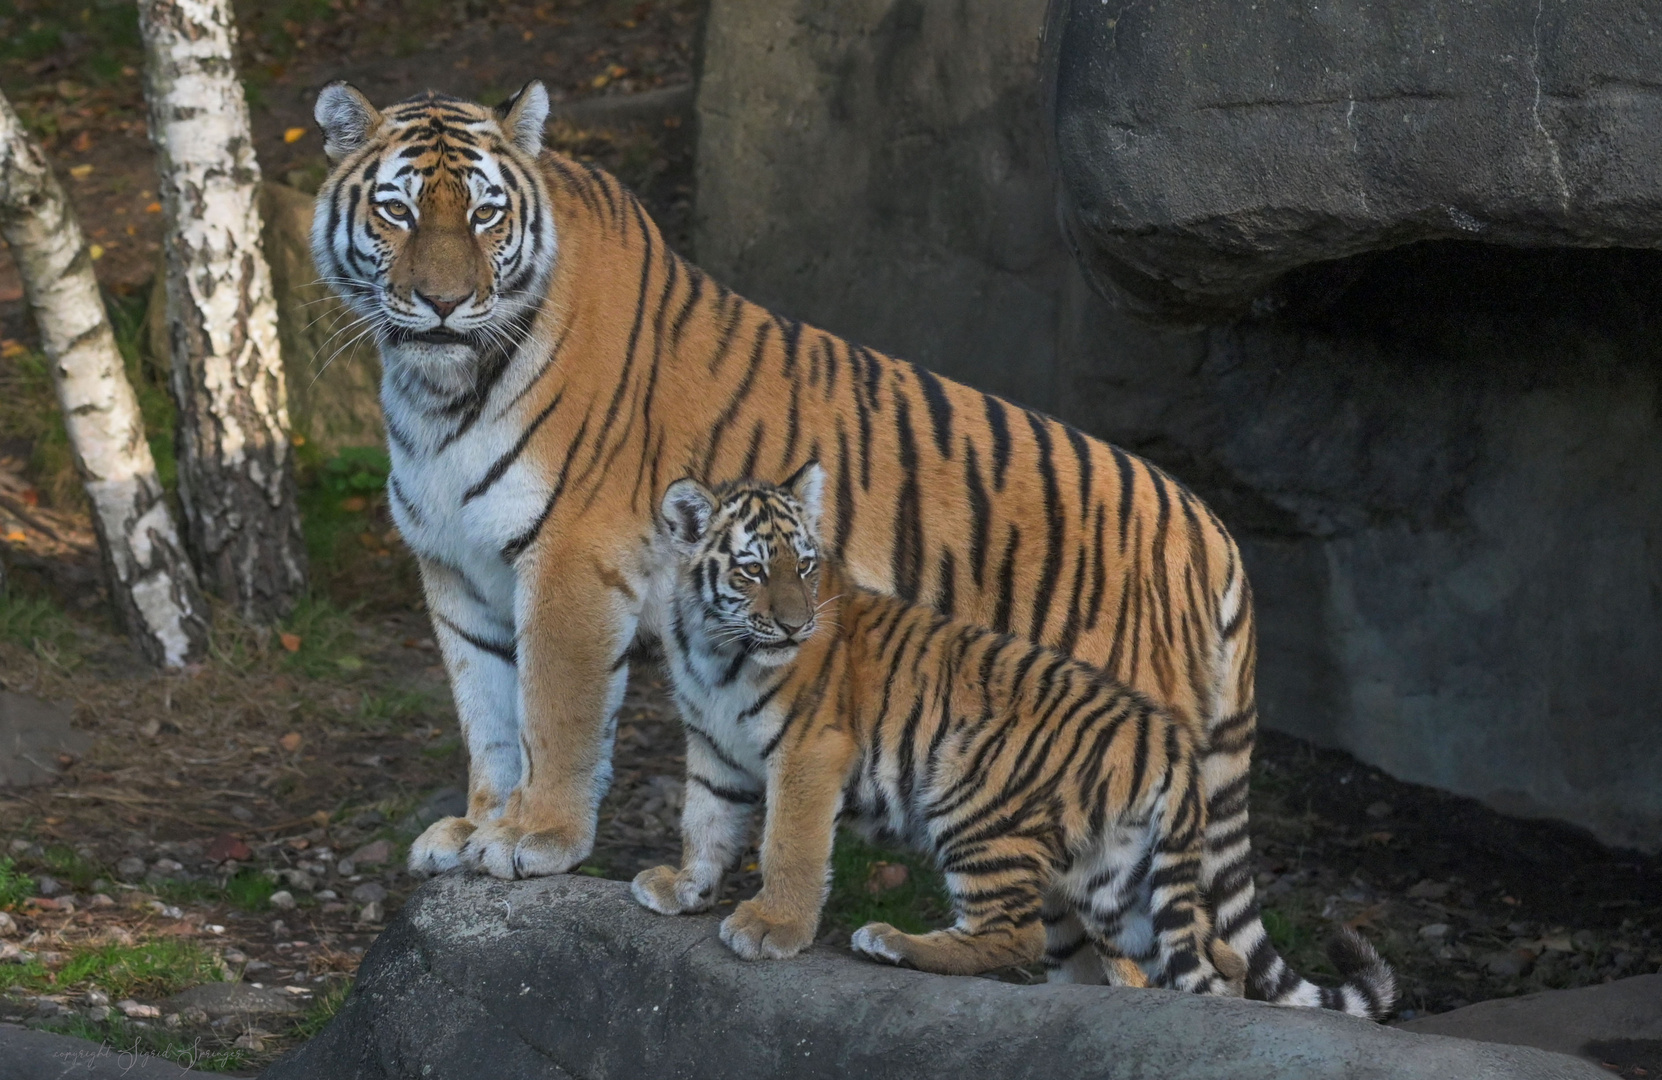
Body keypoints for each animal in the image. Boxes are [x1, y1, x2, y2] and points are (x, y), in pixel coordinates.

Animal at [312, 81, 1376, 1010]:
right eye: (398, 213)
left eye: (486, 216)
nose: (443, 303)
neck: (435, 389)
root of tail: (1210, 527)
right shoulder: (457, 571)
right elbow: (487, 714)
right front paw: (476, 827)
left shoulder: (571, 558)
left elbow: (554, 713)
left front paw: (537, 839)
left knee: (1179, 962)